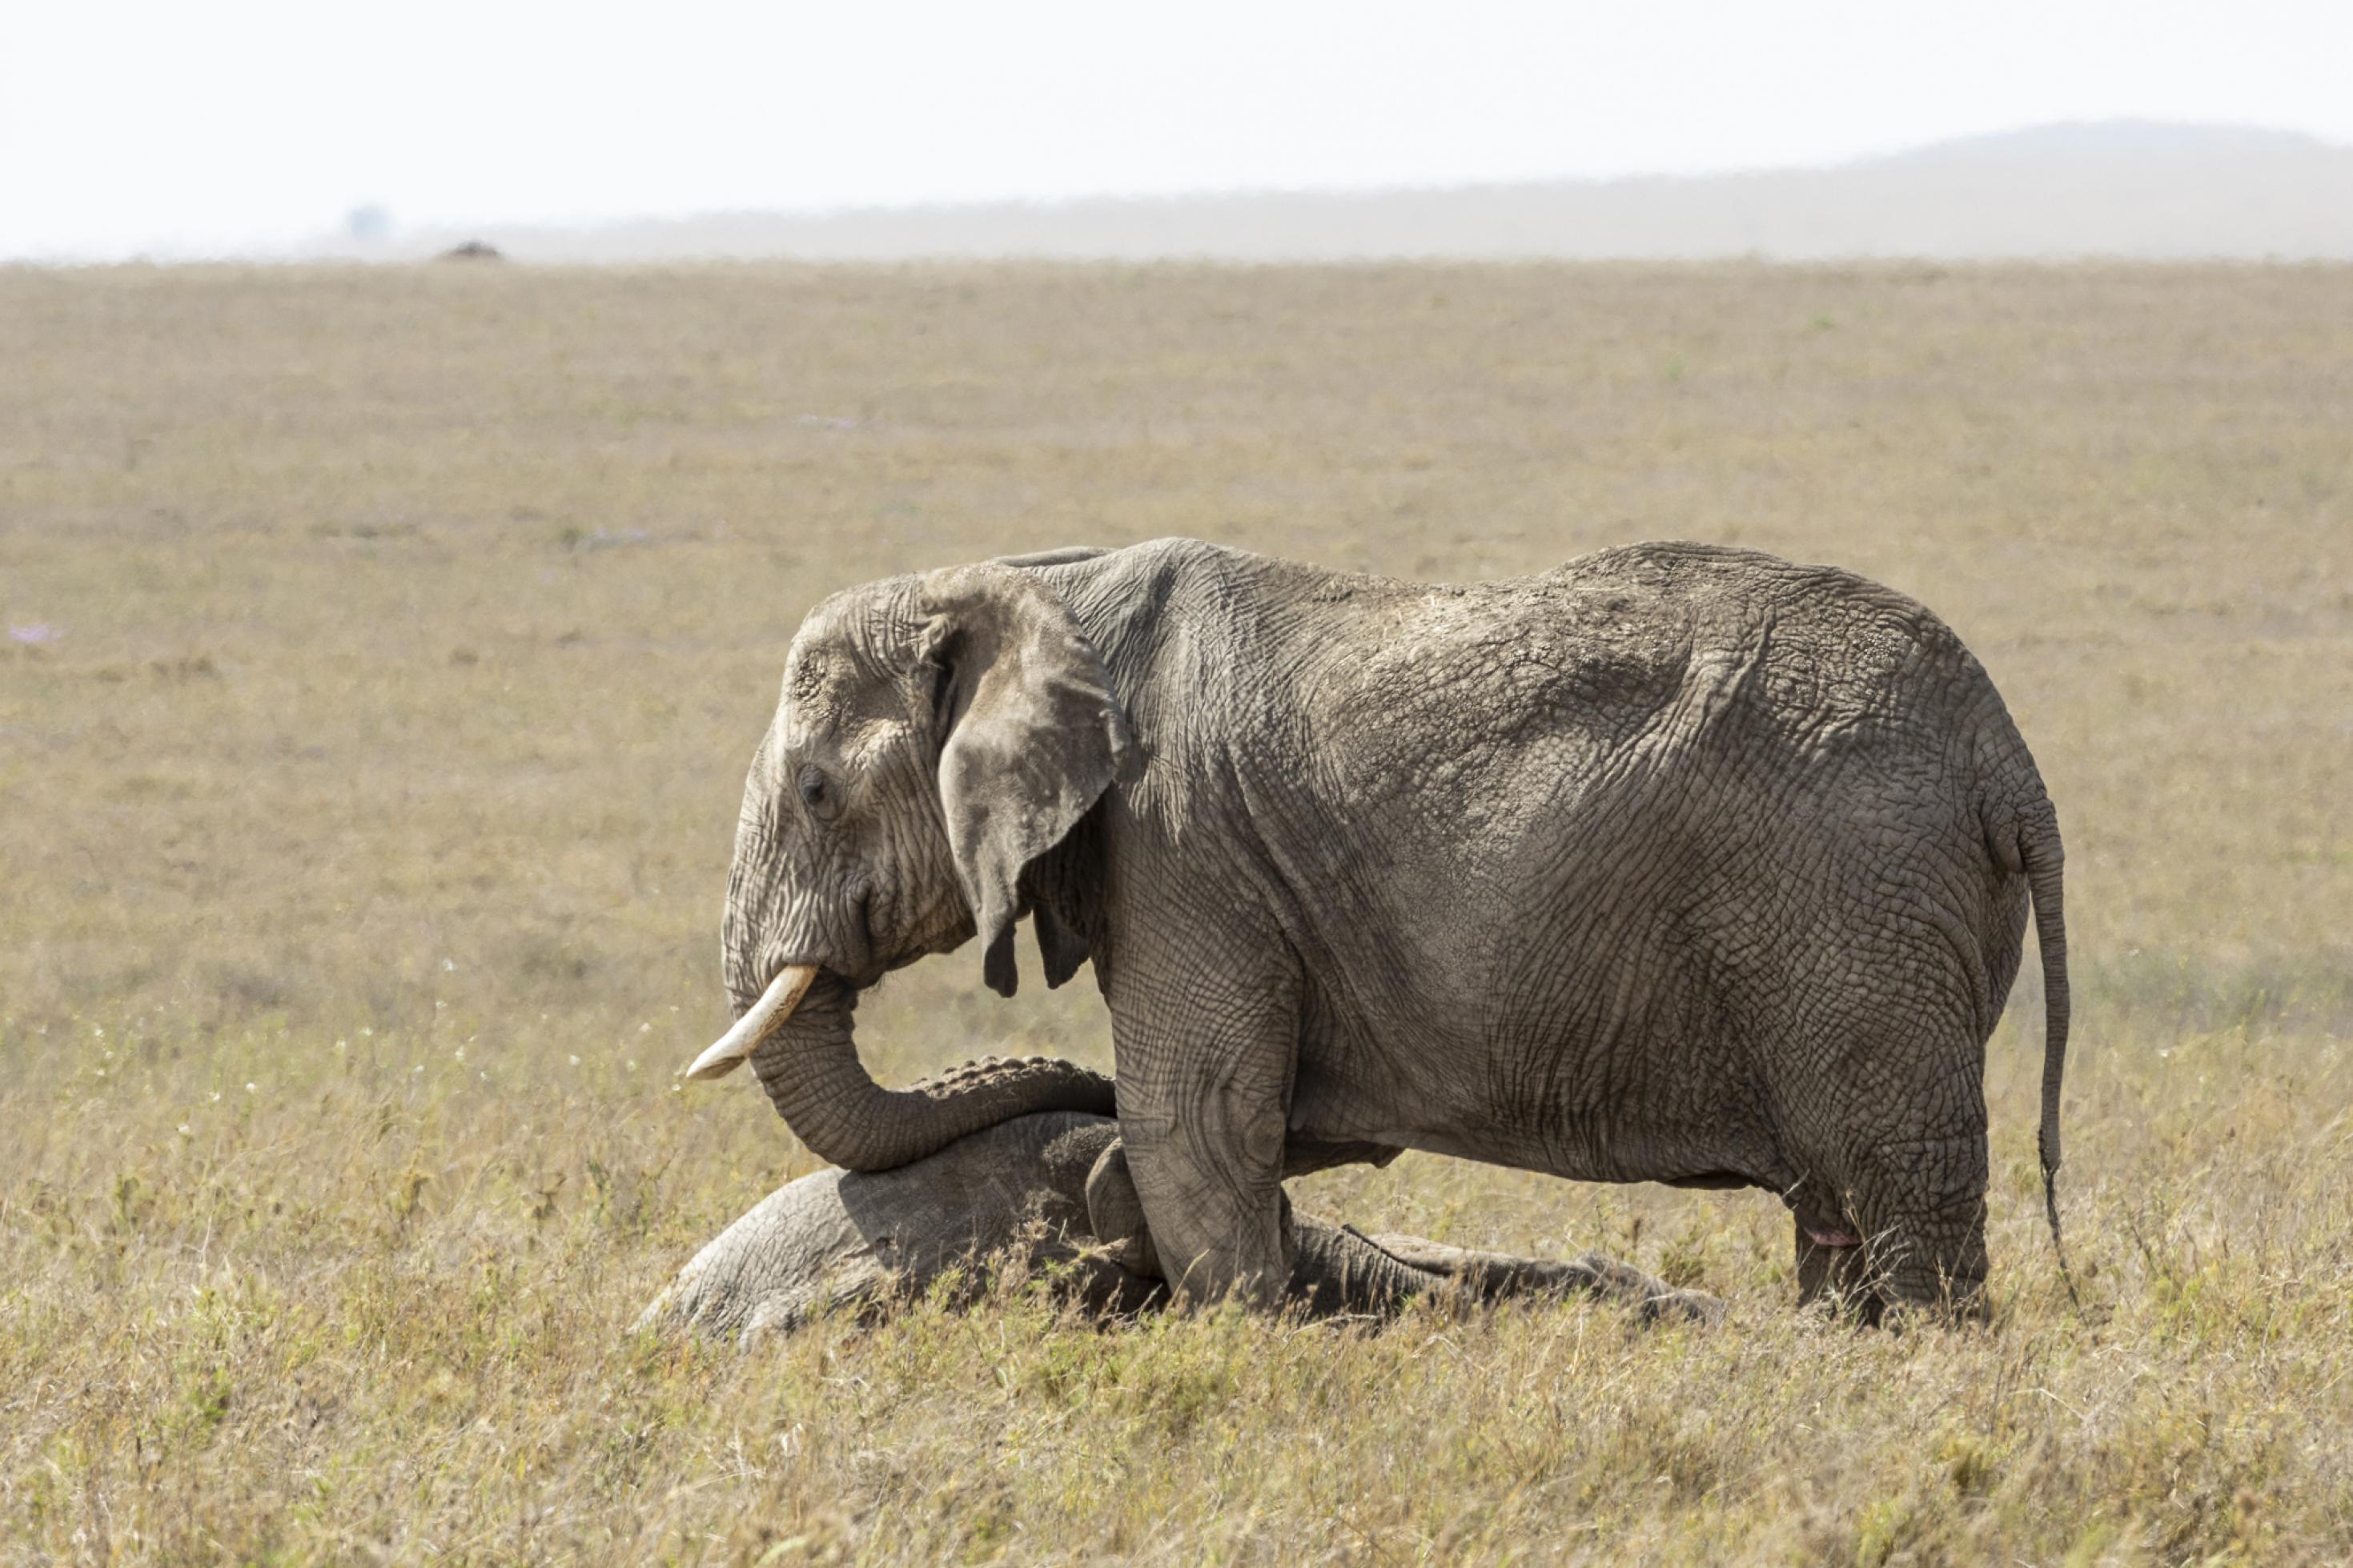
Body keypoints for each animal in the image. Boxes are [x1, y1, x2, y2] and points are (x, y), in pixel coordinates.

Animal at [677, 543, 2061, 1325]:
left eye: (816, 793)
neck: (1037, 583)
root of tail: (2009, 759)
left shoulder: (1182, 850)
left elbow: (1193, 1124)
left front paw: (1245, 1358)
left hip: (1856, 898)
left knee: (1897, 1179)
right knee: (1834, 1202)